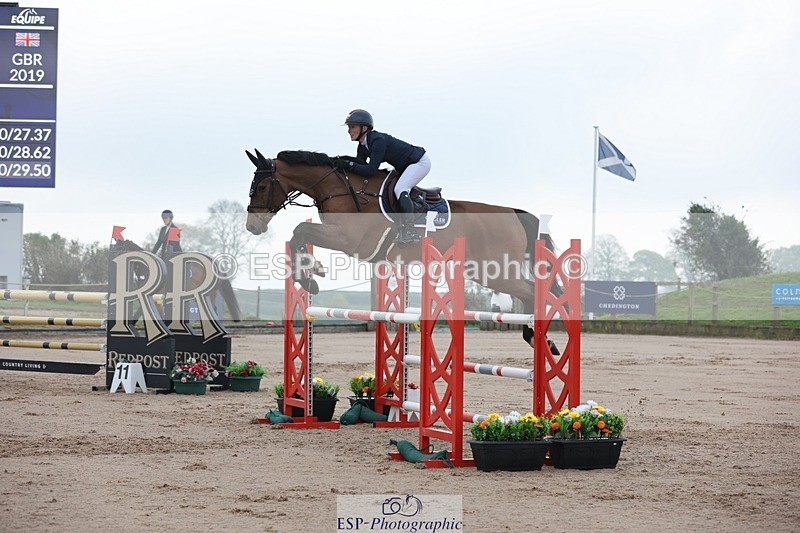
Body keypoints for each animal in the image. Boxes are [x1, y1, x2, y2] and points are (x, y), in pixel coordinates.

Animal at [244, 149, 558, 348]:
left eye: (262, 187)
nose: (252, 226)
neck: (342, 189)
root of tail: (513, 212)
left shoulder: (348, 240)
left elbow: (301, 230)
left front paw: (311, 277)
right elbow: (298, 235)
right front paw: (312, 273)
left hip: (494, 271)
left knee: (531, 291)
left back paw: (540, 338)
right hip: (484, 270)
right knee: (529, 291)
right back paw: (538, 339)